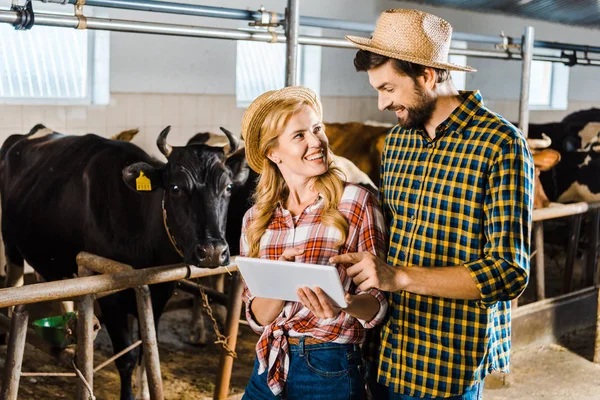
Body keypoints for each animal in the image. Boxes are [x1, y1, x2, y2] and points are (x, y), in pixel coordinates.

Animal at [0, 123, 248, 398]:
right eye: (175, 188)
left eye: (228, 188)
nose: (213, 251)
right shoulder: (111, 296)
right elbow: (126, 358)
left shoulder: (160, 291)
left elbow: (147, 349)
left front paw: (145, 392)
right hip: (11, 243)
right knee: (15, 282)